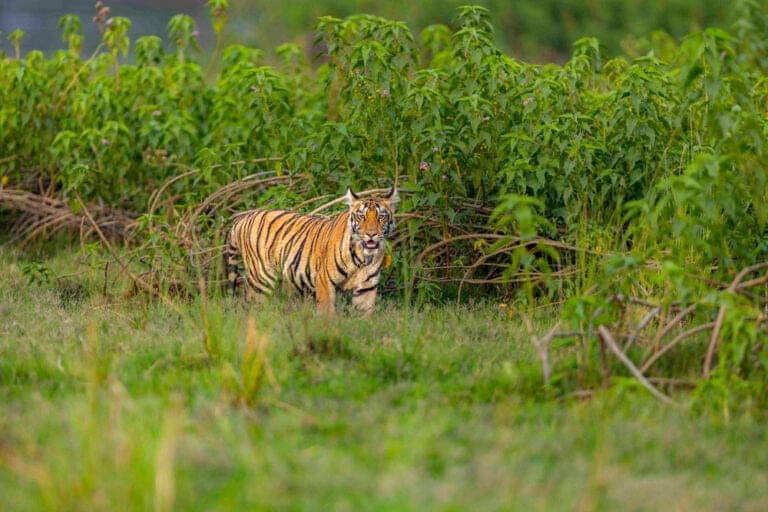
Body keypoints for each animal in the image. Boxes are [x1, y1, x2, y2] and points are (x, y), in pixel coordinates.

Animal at [224, 187, 398, 315]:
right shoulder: (325, 281)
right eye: (361, 216)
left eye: (381, 216)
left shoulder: (366, 288)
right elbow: (327, 314)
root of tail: (243, 219)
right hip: (261, 279)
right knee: (251, 306)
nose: (371, 234)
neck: (363, 257)